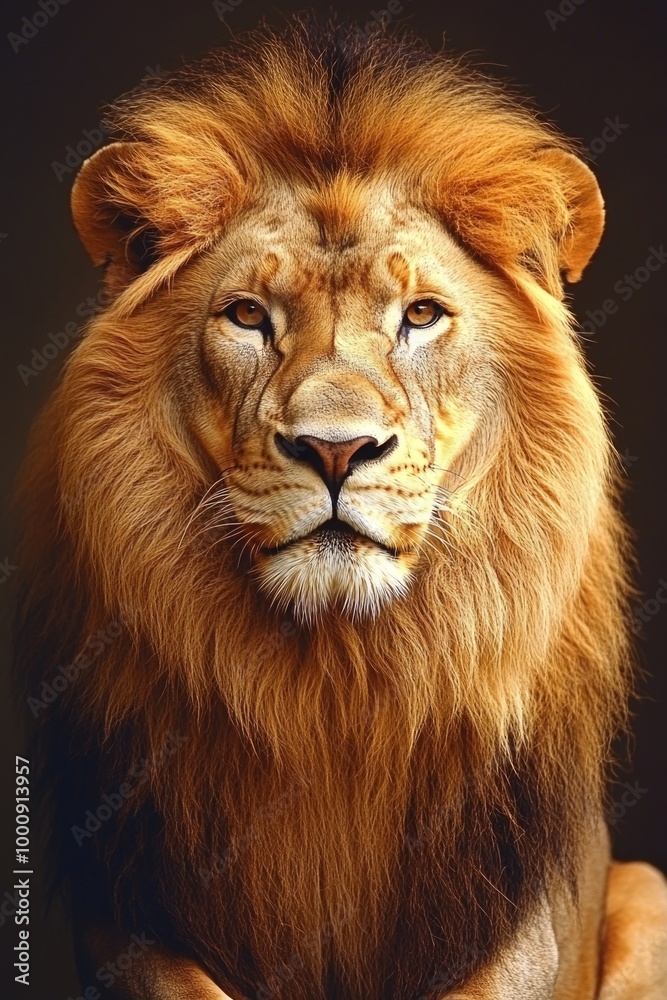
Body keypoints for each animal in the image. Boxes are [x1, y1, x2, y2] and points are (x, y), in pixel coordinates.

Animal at [14, 17, 667, 1000]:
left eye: (421, 315)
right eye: (247, 315)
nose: (334, 450)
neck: (334, 685)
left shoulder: (528, 919)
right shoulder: (127, 912)